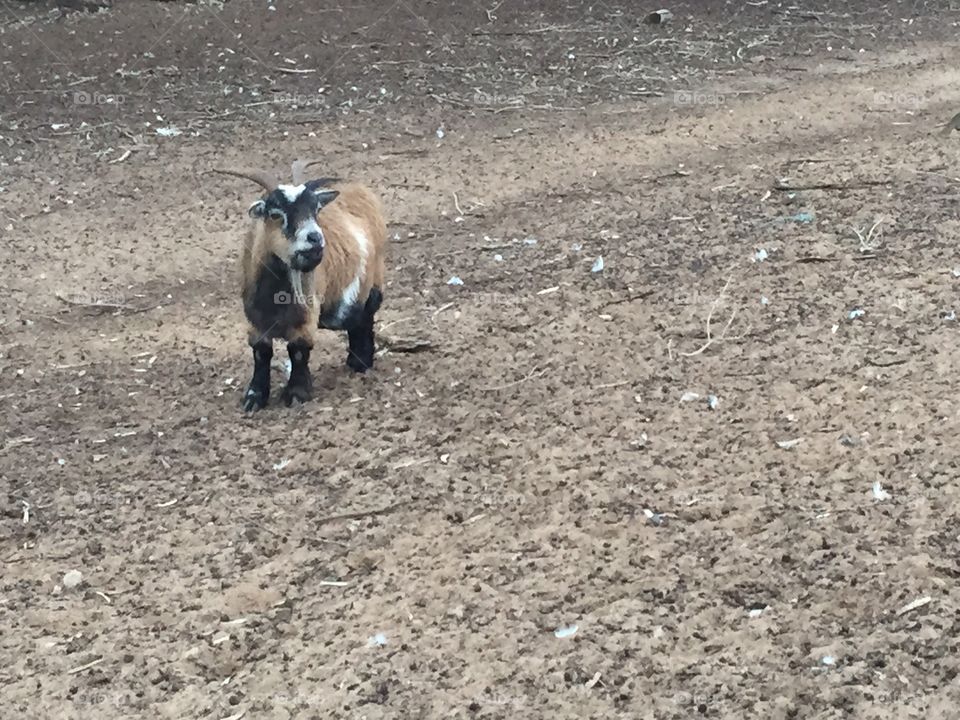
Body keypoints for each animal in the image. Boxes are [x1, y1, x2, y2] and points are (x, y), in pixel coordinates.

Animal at [212, 159, 388, 411]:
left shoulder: (306, 317)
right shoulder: (254, 321)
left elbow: (298, 351)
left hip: (374, 279)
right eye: (276, 214)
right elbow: (261, 352)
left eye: (315, 210)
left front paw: (297, 394)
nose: (315, 238)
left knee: (367, 315)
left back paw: (360, 362)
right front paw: (254, 397)